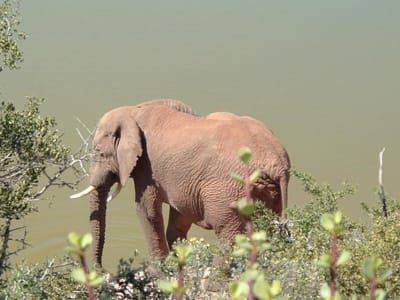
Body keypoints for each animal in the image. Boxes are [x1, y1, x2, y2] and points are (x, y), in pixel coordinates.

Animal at [71, 99, 290, 266]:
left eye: (99, 152)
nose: (100, 270)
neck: (133, 110)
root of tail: (277, 162)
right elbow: (179, 218)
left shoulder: (147, 168)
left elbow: (147, 212)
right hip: (267, 191)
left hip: (233, 190)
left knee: (229, 238)